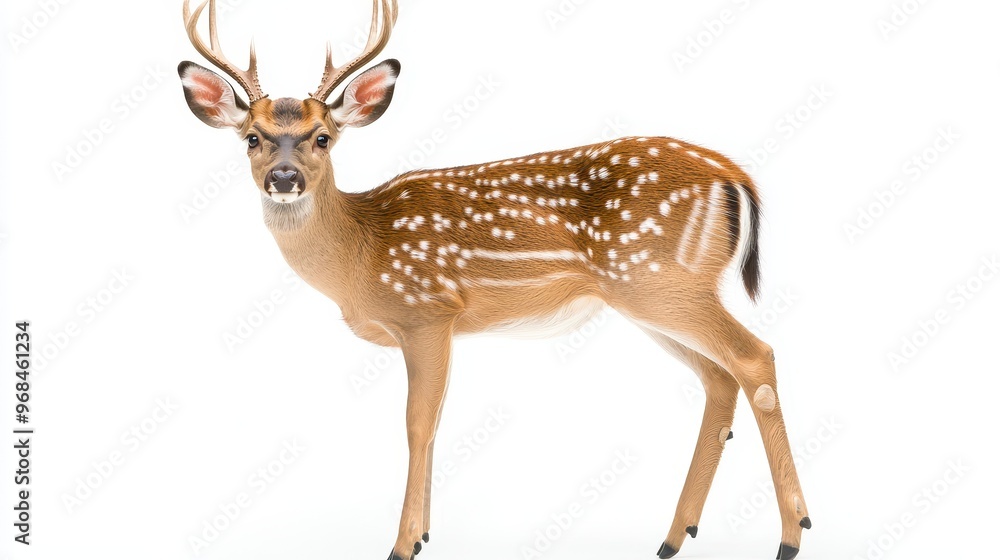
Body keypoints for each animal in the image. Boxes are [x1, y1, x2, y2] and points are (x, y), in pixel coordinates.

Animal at [177, 0, 811, 558]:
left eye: (323, 137)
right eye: (251, 138)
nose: (284, 178)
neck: (362, 252)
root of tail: (735, 176)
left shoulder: (427, 311)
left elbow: (417, 424)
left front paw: (402, 545)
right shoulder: (445, 328)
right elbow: (437, 423)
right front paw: (426, 535)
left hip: (658, 280)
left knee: (754, 357)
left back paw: (791, 533)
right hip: (652, 296)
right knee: (718, 379)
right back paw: (675, 537)